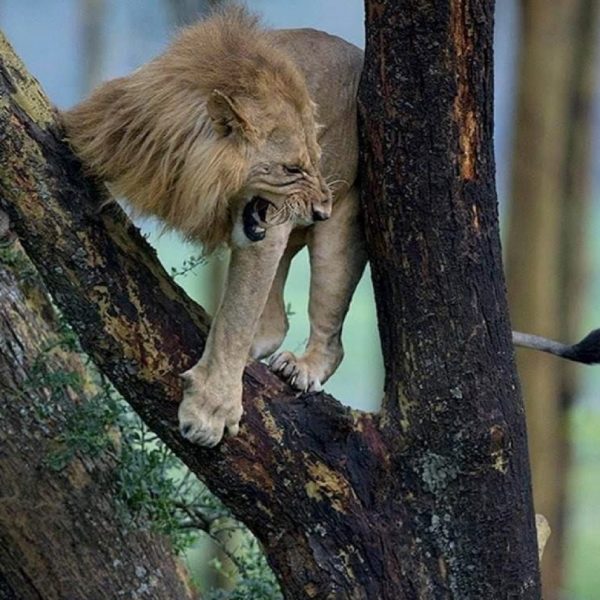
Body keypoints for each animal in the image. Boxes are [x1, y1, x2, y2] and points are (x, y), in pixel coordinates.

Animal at [63, 4, 596, 446]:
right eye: (292, 167)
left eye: (316, 160)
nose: (319, 207)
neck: (189, 177)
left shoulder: (266, 234)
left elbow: (236, 319)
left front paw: (211, 410)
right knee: (273, 321)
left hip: (344, 232)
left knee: (328, 336)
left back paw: (300, 367)